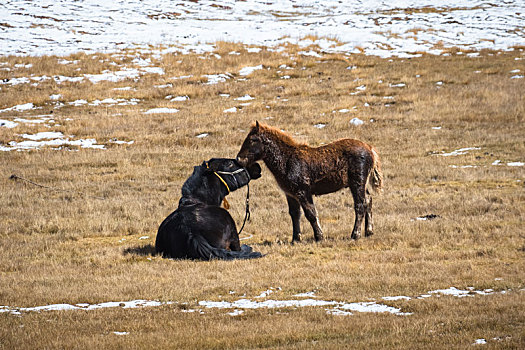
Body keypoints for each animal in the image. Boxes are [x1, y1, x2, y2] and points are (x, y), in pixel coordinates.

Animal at [236, 122, 380, 243]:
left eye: (253, 140)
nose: (239, 159)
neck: (287, 160)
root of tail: (370, 149)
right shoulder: (290, 194)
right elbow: (295, 214)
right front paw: (295, 239)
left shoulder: (303, 192)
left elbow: (311, 213)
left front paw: (319, 237)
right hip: (361, 184)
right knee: (368, 201)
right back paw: (369, 231)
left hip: (357, 183)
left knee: (360, 205)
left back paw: (355, 235)